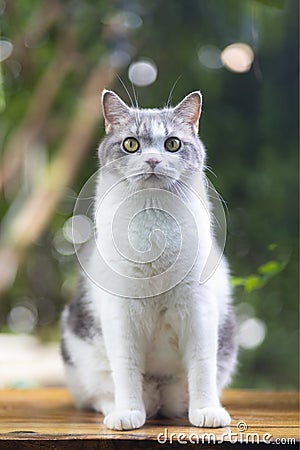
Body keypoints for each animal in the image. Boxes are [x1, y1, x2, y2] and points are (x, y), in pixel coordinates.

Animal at [61, 89, 238, 430]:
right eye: (131, 144)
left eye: (173, 144)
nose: (153, 159)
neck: (154, 224)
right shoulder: (121, 314)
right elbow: (126, 368)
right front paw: (128, 412)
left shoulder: (198, 310)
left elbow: (202, 366)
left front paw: (207, 411)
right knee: (100, 392)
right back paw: (115, 407)